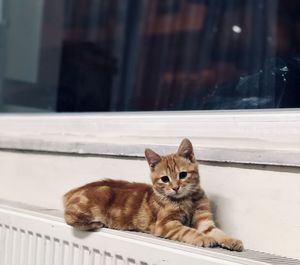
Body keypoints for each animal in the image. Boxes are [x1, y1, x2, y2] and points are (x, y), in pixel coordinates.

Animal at [63, 138, 244, 250]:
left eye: (183, 175)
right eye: (165, 179)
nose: (175, 187)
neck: (186, 200)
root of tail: (71, 192)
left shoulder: (204, 221)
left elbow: (217, 231)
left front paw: (231, 240)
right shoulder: (166, 224)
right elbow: (189, 231)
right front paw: (205, 239)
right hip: (100, 196)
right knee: (69, 218)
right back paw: (96, 223)